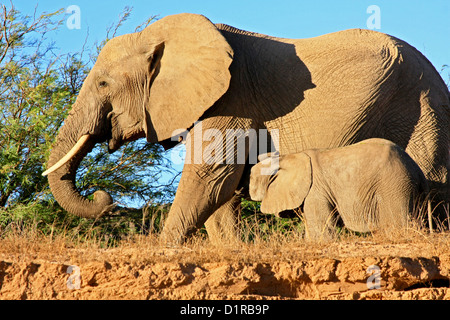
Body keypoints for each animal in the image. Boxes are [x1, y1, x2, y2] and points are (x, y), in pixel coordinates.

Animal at [251, 138, 430, 240]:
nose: (250, 189)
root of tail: (418, 170)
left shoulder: (315, 191)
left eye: (252, 177)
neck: (291, 156)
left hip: (394, 186)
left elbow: (322, 232)